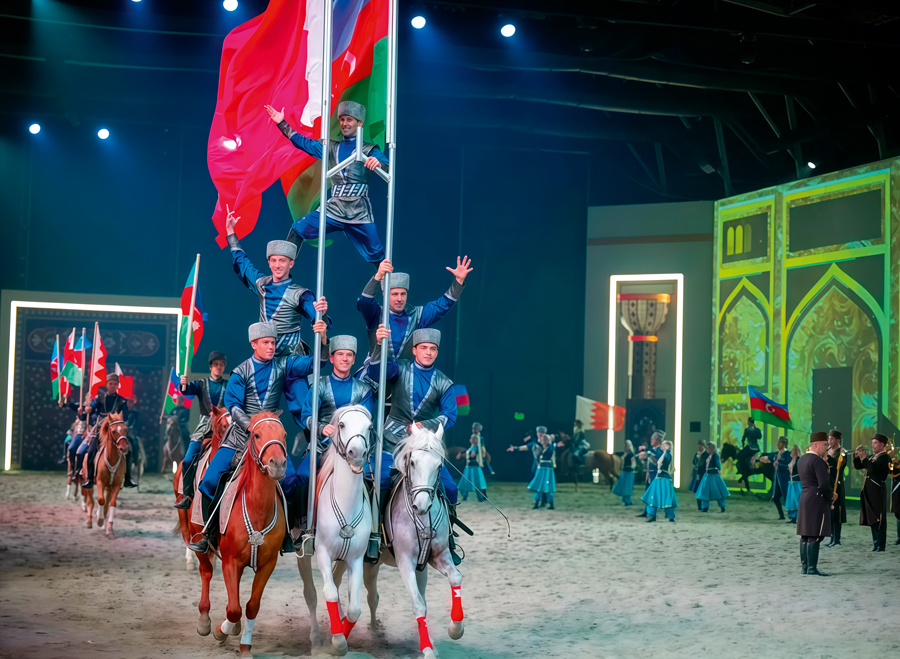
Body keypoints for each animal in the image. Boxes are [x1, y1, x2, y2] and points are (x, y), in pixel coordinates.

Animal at [210, 410, 289, 657]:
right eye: (256, 434)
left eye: (284, 434)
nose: (278, 464)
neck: (257, 510)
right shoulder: (230, 562)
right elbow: (234, 609)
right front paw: (221, 631)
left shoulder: (267, 564)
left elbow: (251, 606)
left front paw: (245, 646)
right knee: (206, 574)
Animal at [295, 405, 373, 656]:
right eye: (341, 424)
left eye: (369, 427)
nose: (356, 452)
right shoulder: (322, 553)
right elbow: (328, 593)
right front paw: (337, 641)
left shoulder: (356, 559)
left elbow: (355, 608)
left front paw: (341, 638)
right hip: (303, 554)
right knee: (311, 594)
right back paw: (316, 636)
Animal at [357, 424, 464, 659]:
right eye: (413, 462)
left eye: (439, 465)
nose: (421, 505)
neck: (422, 518)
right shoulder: (405, 561)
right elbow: (418, 604)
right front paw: (428, 650)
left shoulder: (439, 556)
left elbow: (455, 578)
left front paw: (455, 629)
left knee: (374, 596)